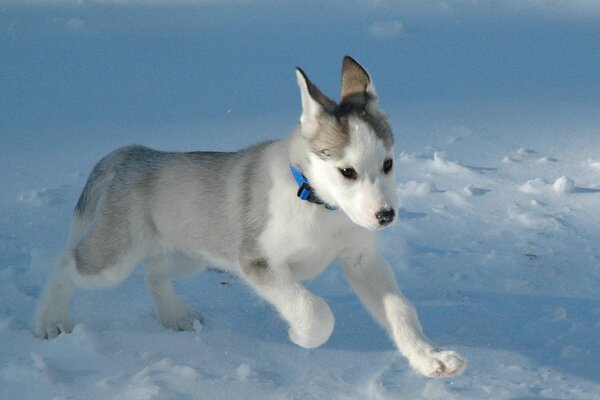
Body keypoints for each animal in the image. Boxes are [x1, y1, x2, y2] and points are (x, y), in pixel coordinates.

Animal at [32, 57, 466, 378]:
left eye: (388, 164)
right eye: (347, 172)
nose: (385, 216)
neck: (318, 204)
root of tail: (132, 153)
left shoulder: (362, 259)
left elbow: (400, 309)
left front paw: (430, 358)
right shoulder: (257, 261)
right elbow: (314, 310)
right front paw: (300, 336)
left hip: (191, 252)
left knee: (153, 270)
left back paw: (176, 317)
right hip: (114, 258)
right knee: (65, 262)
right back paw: (50, 323)